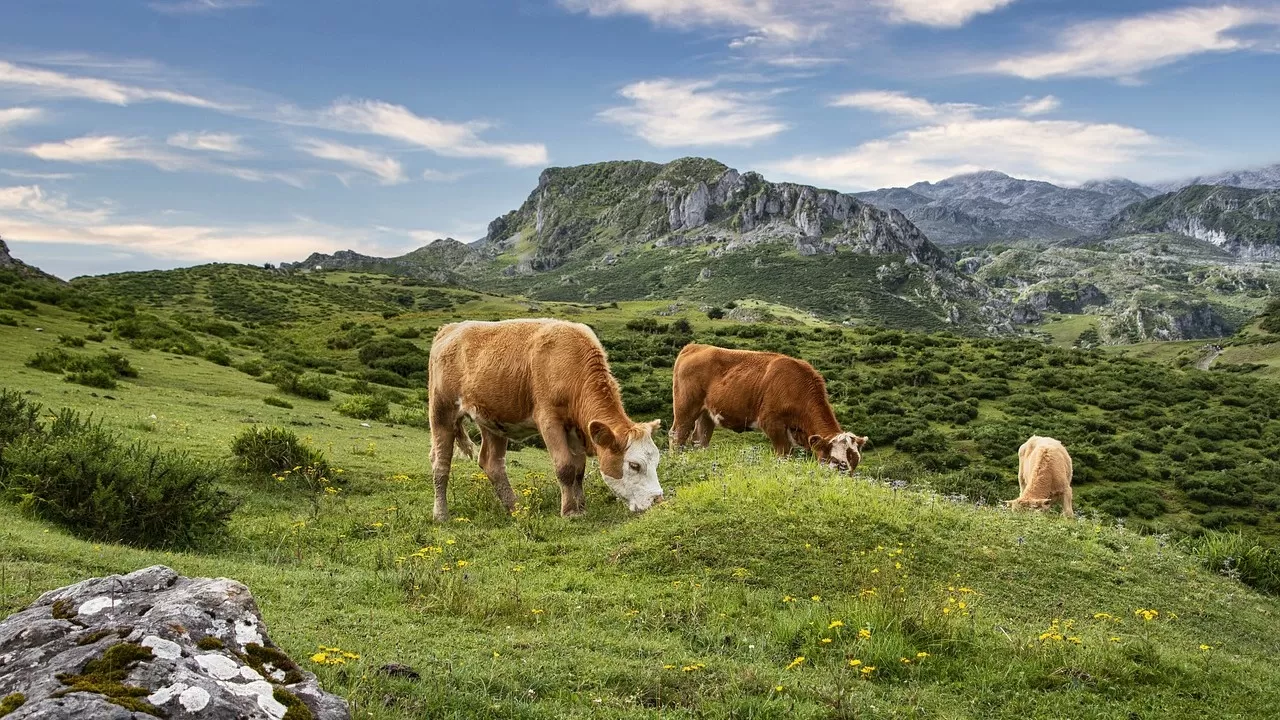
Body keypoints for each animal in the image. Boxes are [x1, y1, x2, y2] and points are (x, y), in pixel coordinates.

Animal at [432, 316, 670, 517]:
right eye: (634, 465)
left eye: (657, 460)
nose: (657, 500)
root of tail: (450, 328)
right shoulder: (549, 420)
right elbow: (565, 466)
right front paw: (569, 511)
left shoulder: (575, 427)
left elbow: (578, 469)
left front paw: (581, 507)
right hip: (442, 410)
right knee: (440, 463)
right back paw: (441, 515)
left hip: (492, 419)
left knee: (492, 463)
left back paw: (516, 510)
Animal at [670, 340, 870, 471]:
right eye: (839, 463)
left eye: (855, 464)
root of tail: (695, 346)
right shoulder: (772, 423)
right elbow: (783, 455)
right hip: (685, 406)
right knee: (678, 434)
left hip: (707, 413)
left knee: (699, 439)